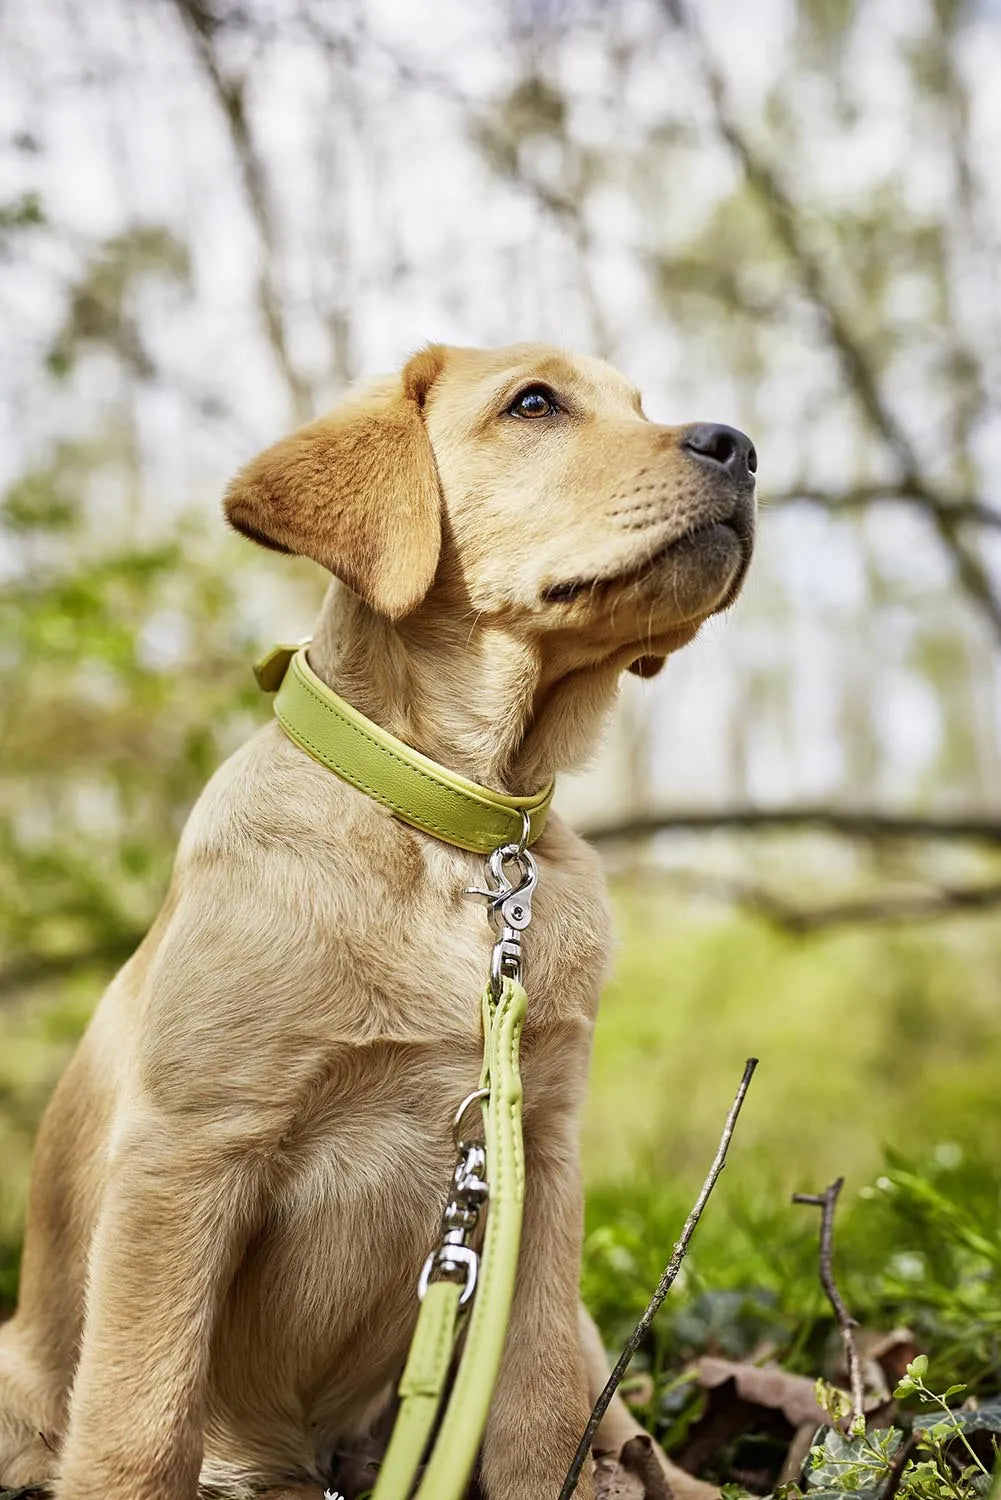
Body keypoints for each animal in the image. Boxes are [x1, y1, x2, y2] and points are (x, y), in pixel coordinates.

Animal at [0, 343, 756, 1500]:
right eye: (533, 404)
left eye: (639, 402)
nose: (740, 445)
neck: (459, 831)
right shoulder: (184, 1156)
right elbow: (140, 1419)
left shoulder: (538, 1158)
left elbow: (538, 1412)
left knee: (606, 1411)